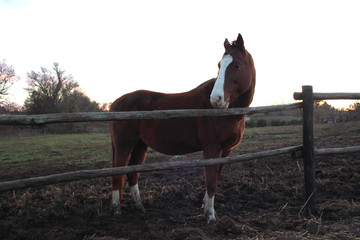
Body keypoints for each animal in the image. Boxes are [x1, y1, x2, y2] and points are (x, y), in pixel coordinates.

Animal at [109, 33, 256, 223]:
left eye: (236, 65)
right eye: (219, 65)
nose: (216, 99)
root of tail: (114, 104)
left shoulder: (226, 151)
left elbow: (216, 180)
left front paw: (206, 208)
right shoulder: (211, 149)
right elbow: (210, 182)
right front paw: (210, 216)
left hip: (140, 145)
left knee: (132, 172)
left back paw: (140, 207)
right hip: (124, 144)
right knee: (118, 173)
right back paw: (116, 209)